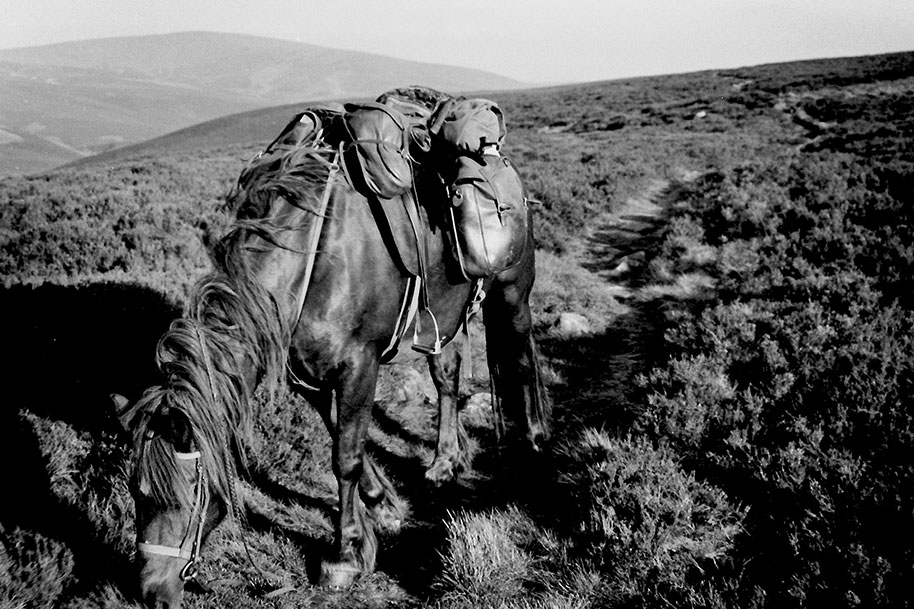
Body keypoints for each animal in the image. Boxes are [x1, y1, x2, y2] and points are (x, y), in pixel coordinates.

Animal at [114, 91, 548, 608]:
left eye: (188, 492)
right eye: (136, 493)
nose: (150, 592)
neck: (312, 253)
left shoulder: (359, 364)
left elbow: (345, 456)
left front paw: (343, 556)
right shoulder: (309, 373)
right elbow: (343, 435)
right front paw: (380, 511)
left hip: (511, 295)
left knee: (520, 363)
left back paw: (532, 449)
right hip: (441, 315)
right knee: (447, 375)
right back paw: (445, 461)